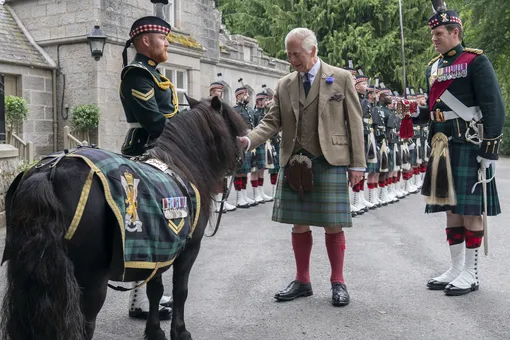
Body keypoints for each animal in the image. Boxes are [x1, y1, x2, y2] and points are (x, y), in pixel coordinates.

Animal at [0, 96, 247, 340]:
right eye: (233, 124)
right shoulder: (188, 249)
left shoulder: (159, 247)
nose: (245, 145)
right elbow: (180, 290)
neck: (181, 165)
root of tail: (50, 170)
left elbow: (155, 289)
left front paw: (154, 330)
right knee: (85, 324)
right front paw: (180, 331)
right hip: (90, 282)